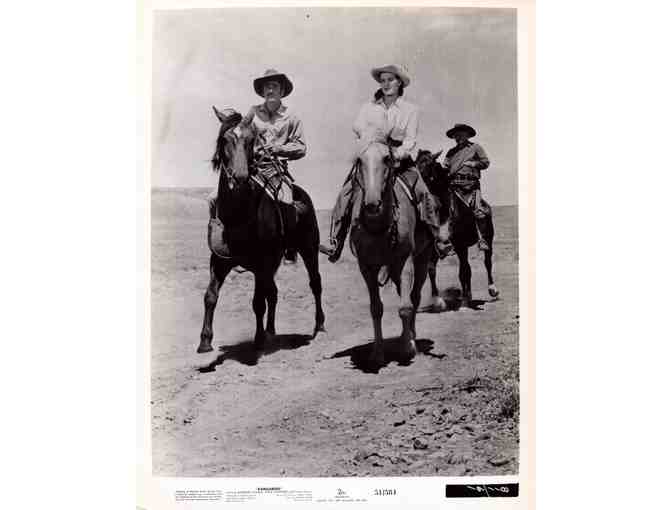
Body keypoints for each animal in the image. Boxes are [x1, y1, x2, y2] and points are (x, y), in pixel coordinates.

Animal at [197, 107, 326, 354]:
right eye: (225, 139)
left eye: (251, 140)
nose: (239, 177)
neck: (237, 215)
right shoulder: (219, 260)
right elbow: (210, 296)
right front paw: (205, 341)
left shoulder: (260, 264)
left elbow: (257, 302)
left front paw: (257, 341)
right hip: (274, 262)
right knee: (273, 293)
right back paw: (271, 331)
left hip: (308, 249)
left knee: (315, 283)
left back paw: (319, 326)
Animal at [348, 141, 435, 367]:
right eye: (358, 160)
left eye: (387, 158)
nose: (372, 204)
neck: (379, 227)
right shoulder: (367, 267)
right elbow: (376, 308)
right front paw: (377, 354)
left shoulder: (405, 261)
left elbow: (405, 307)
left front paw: (408, 349)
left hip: (422, 260)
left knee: (414, 297)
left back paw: (412, 336)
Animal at [416, 149, 499, 310]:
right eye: (415, 164)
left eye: (428, 164)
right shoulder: (435, 247)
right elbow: (431, 269)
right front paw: (438, 301)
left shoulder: (460, 246)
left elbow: (464, 272)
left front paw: (464, 303)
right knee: (467, 269)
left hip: (487, 240)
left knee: (486, 263)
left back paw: (492, 290)